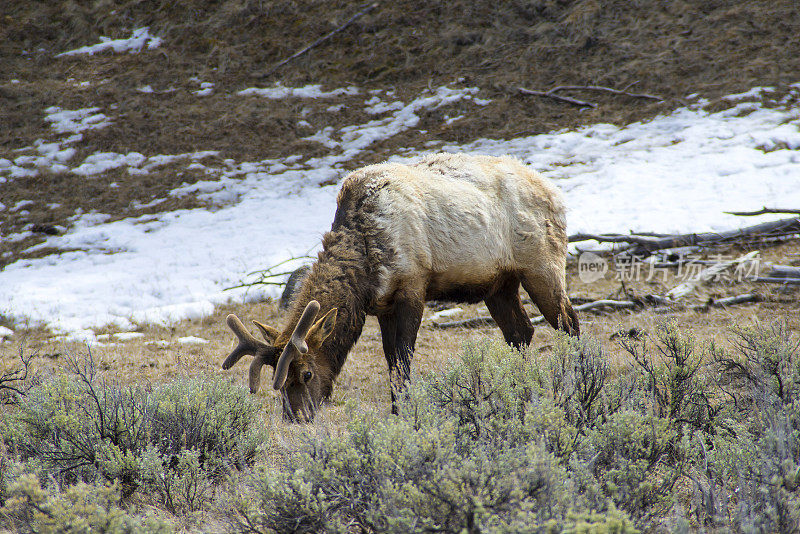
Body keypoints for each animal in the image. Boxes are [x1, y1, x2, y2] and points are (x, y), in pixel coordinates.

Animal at [222, 154, 580, 422]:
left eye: (307, 373)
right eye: (279, 382)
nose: (296, 417)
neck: (366, 264)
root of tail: (558, 195)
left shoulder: (413, 288)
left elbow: (402, 360)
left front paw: (405, 412)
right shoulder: (383, 305)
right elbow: (390, 358)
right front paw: (396, 410)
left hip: (542, 265)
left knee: (569, 323)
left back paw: (574, 379)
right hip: (498, 284)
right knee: (521, 332)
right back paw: (521, 387)